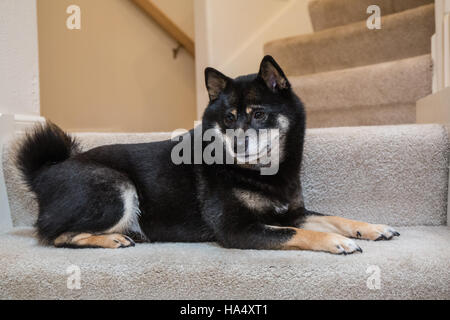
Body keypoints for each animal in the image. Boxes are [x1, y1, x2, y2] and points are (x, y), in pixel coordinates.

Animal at [15, 55, 400, 255]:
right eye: (228, 118)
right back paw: (112, 238)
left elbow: (334, 217)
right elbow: (297, 234)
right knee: (57, 236)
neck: (262, 173)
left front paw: (372, 228)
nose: (238, 144)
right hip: (116, 186)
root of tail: (45, 172)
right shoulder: (237, 229)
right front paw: (336, 241)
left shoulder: (293, 212)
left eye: (259, 114)